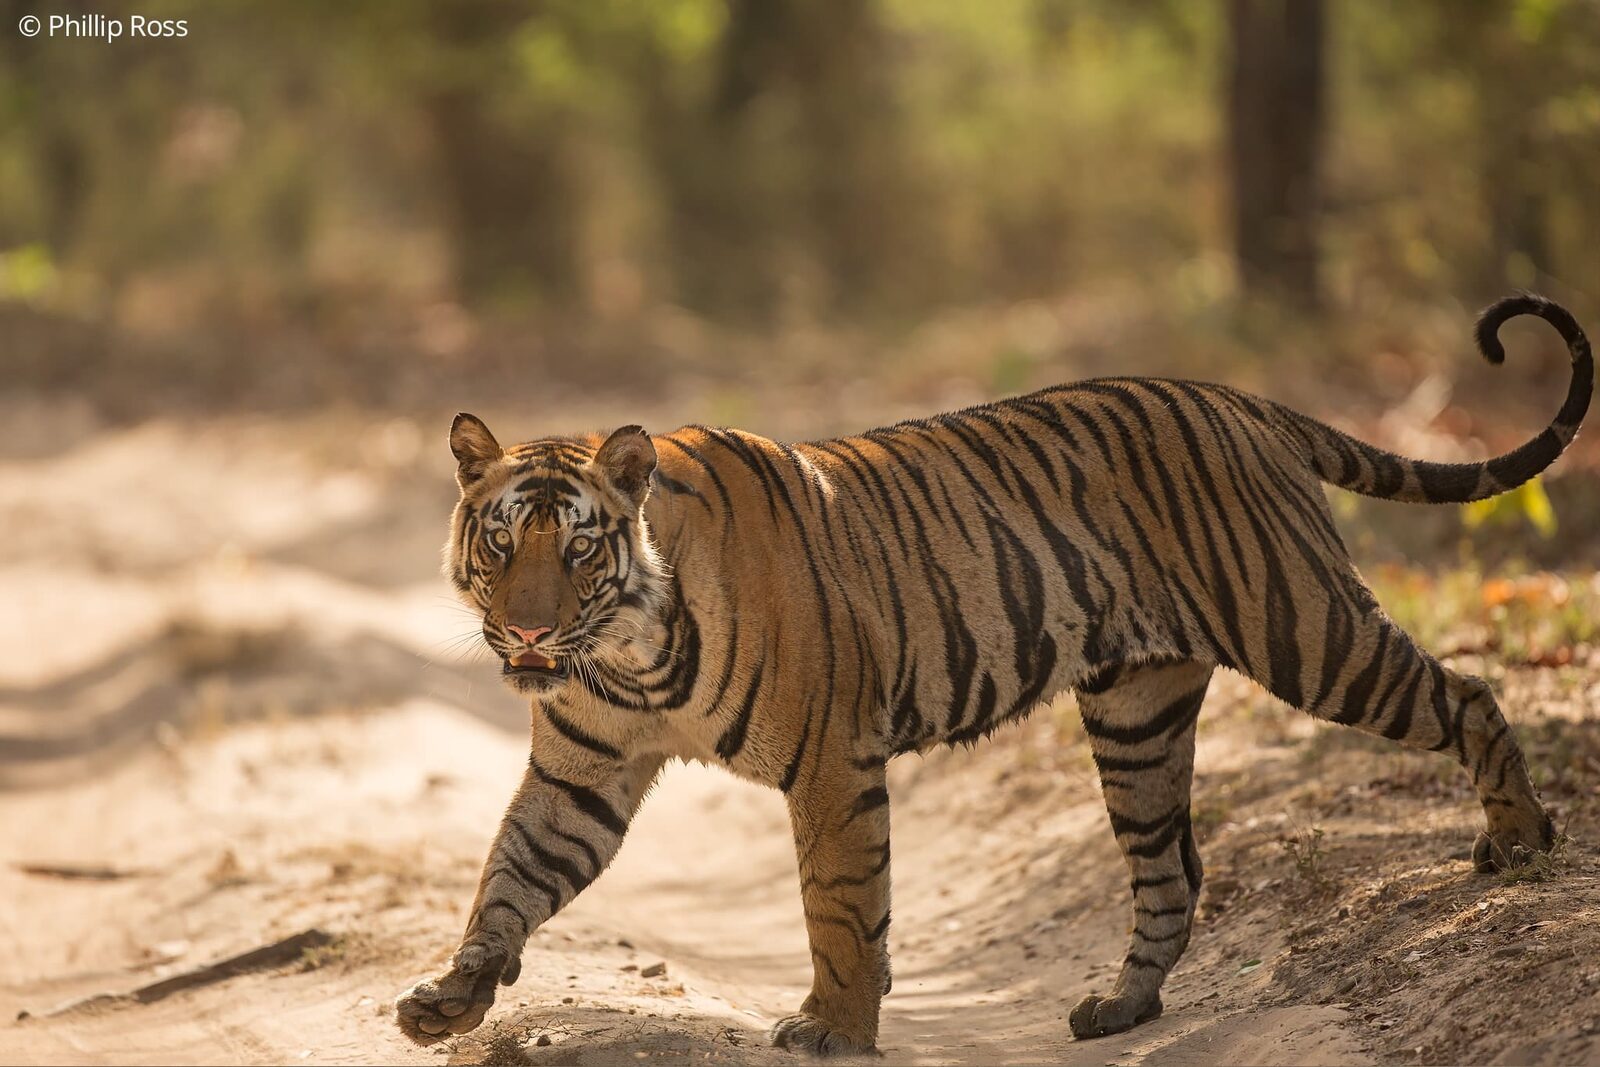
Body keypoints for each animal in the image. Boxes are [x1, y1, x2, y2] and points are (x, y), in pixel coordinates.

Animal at [395, 293, 1591, 1054]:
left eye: (577, 548)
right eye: (500, 542)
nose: (529, 635)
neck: (628, 654)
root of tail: (1241, 400)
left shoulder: (831, 762)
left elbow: (840, 901)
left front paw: (833, 1026)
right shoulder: (582, 771)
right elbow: (508, 875)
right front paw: (452, 995)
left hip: (1305, 627)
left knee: (1466, 694)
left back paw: (1523, 836)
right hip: (1136, 713)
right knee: (1171, 869)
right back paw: (1119, 1009)